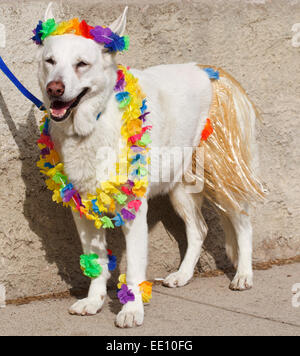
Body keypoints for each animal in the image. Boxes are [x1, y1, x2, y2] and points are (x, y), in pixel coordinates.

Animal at [37, 4, 262, 328]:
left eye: (81, 64)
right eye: (50, 61)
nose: (54, 88)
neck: (91, 125)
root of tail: (216, 73)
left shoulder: (134, 210)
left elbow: (132, 270)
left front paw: (131, 310)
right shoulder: (83, 210)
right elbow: (96, 263)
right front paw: (94, 301)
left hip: (222, 173)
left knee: (243, 222)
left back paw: (244, 274)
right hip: (181, 188)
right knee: (199, 229)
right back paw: (183, 274)